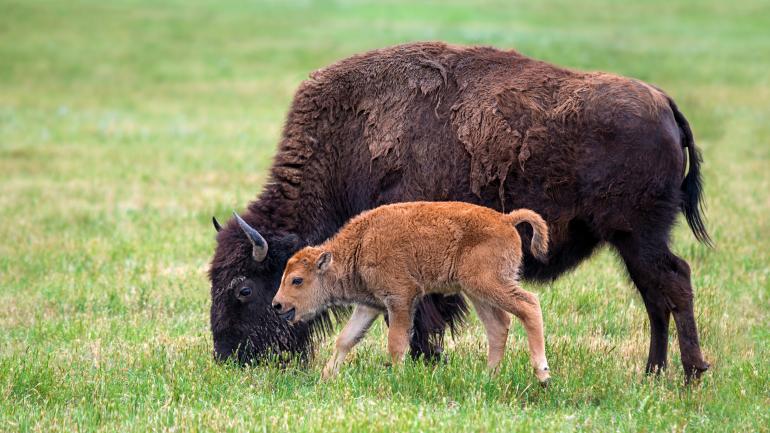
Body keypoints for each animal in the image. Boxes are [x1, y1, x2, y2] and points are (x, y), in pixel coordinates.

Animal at [208, 42, 710, 380]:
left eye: (243, 289)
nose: (229, 357)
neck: (348, 138)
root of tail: (664, 103)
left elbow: (419, 320)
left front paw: (425, 363)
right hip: (630, 242)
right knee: (655, 295)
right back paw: (652, 372)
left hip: (638, 235)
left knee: (674, 282)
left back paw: (690, 373)